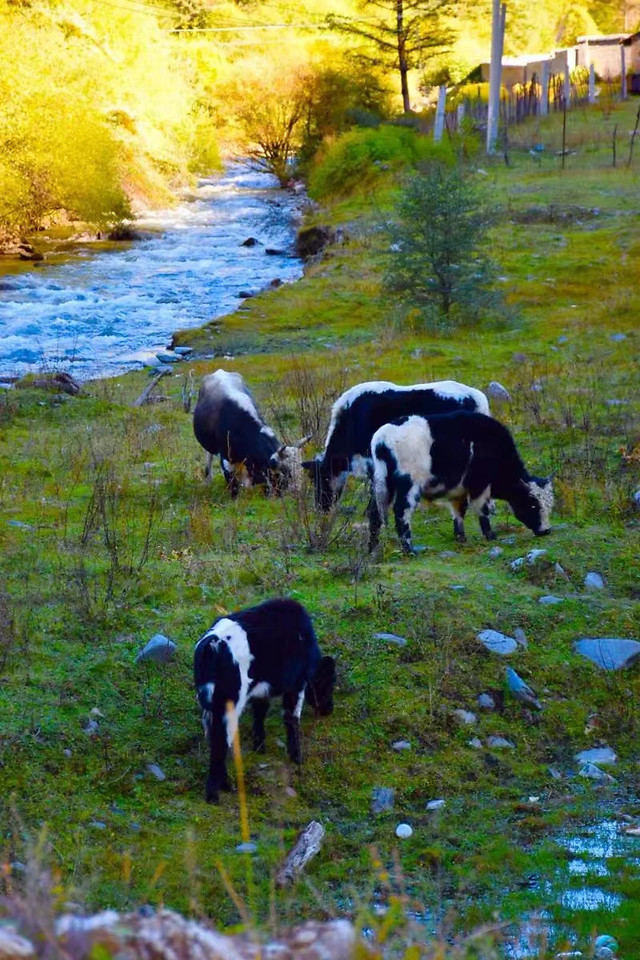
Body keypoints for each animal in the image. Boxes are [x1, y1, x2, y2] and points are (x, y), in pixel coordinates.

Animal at [194, 596, 336, 808]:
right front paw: (297, 756)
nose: (329, 708)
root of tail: (213, 644)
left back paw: (225, 784)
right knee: (221, 741)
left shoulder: (263, 689)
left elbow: (260, 713)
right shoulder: (297, 683)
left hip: (211, 707)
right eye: (328, 681)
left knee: (213, 736)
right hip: (230, 705)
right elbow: (291, 717)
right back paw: (214, 794)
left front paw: (259, 746)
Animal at [370, 410, 556, 556]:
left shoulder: (458, 491)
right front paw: (490, 536)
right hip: (409, 484)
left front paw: (461, 537)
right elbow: (482, 510)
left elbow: (459, 512)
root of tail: (382, 438)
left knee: (374, 513)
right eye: (533, 504)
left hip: (381, 485)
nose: (546, 530)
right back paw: (409, 549)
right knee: (402, 511)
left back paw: (373, 548)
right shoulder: (480, 486)